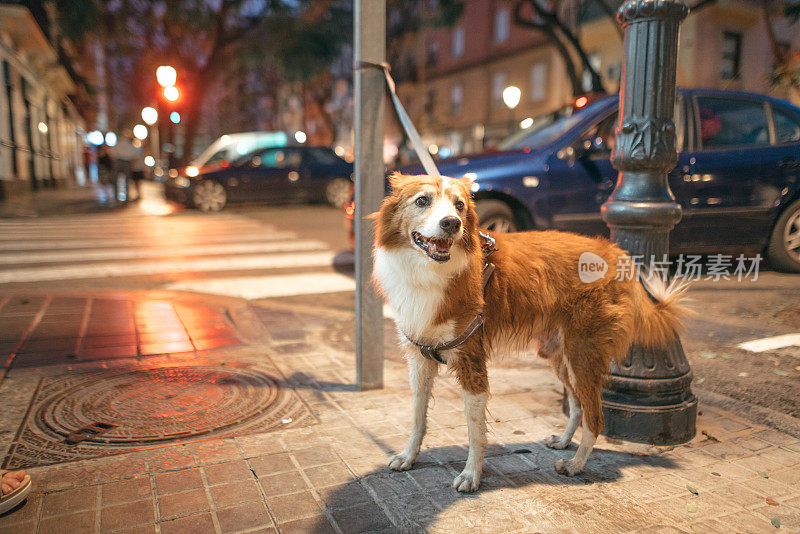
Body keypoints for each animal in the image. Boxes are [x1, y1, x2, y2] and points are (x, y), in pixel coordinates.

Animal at [368, 173, 688, 494]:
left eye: (459, 205)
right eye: (422, 200)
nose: (452, 224)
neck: (428, 271)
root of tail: (618, 253)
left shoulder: (472, 362)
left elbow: (475, 431)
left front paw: (471, 475)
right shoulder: (420, 358)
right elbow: (417, 417)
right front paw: (408, 456)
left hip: (583, 354)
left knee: (595, 418)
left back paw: (575, 465)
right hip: (559, 355)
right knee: (577, 405)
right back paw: (563, 442)